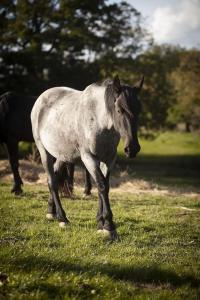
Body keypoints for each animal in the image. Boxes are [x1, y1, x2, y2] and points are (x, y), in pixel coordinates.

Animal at [31, 75, 143, 239]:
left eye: (139, 110)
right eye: (119, 109)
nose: (132, 149)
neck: (99, 121)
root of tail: (41, 99)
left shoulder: (109, 160)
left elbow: (104, 186)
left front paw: (100, 222)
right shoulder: (89, 158)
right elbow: (102, 185)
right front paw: (109, 226)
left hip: (62, 155)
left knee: (55, 178)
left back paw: (51, 212)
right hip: (43, 151)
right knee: (52, 181)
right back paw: (62, 218)